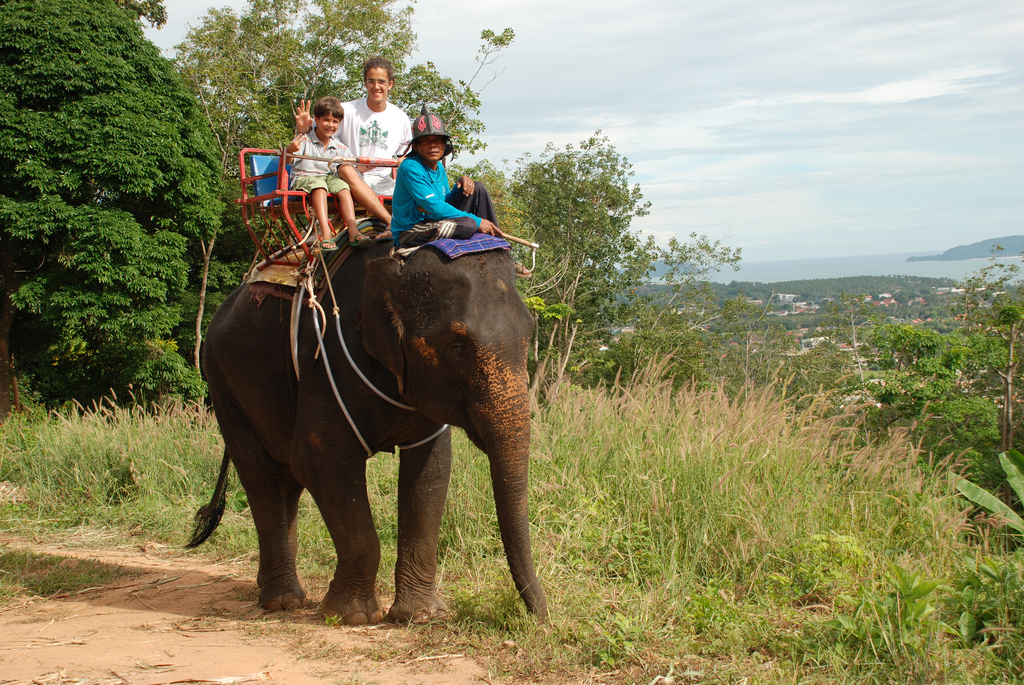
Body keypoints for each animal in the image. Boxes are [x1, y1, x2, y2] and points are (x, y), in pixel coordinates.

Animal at [188, 241, 548, 626]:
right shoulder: (325, 360)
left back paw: (275, 590)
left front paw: (422, 616)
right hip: (222, 383)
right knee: (262, 477)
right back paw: (283, 601)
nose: (540, 620)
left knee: (287, 482)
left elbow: (432, 471)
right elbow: (319, 460)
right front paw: (353, 616)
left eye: (529, 335)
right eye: (457, 346)